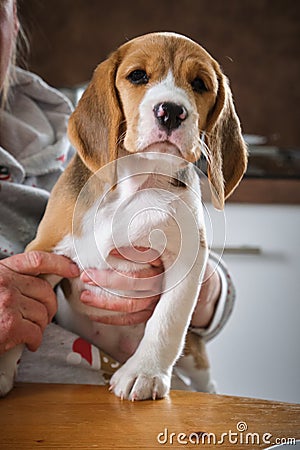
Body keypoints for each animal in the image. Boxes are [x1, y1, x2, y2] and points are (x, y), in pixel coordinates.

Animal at [0, 31, 247, 400]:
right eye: (138, 76)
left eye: (200, 84)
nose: (170, 111)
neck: (138, 182)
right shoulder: (45, 251)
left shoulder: (189, 259)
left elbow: (167, 321)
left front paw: (144, 372)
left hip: (194, 357)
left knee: (204, 378)